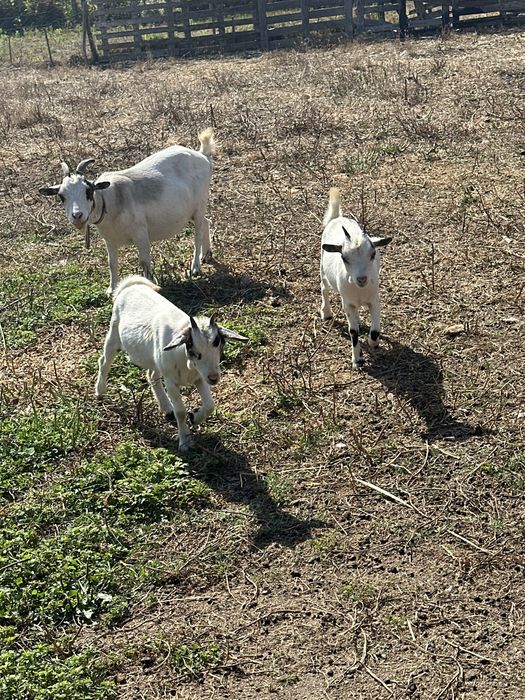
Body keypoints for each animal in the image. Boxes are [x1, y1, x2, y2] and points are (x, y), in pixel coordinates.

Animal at [39, 128, 216, 294]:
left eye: (88, 191)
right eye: (61, 196)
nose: (77, 216)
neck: (109, 200)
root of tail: (203, 156)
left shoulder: (141, 233)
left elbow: (144, 261)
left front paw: (150, 284)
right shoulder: (109, 239)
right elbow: (111, 263)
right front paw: (112, 289)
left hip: (199, 205)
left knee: (198, 234)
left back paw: (195, 267)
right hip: (191, 212)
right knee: (206, 223)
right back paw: (207, 254)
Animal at [95, 276, 247, 452]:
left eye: (219, 344)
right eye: (192, 347)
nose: (214, 378)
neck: (185, 361)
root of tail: (130, 285)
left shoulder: (200, 378)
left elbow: (210, 405)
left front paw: (194, 417)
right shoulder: (171, 381)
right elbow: (181, 412)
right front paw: (185, 442)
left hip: (155, 360)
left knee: (151, 375)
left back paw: (167, 409)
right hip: (113, 334)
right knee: (104, 362)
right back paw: (100, 392)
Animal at [320, 188, 392, 369]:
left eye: (373, 254)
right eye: (344, 258)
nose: (362, 279)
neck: (359, 291)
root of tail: (337, 217)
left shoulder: (374, 300)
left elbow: (375, 331)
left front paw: (373, 343)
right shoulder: (347, 303)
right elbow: (353, 332)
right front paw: (357, 360)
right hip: (323, 269)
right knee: (324, 288)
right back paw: (326, 313)